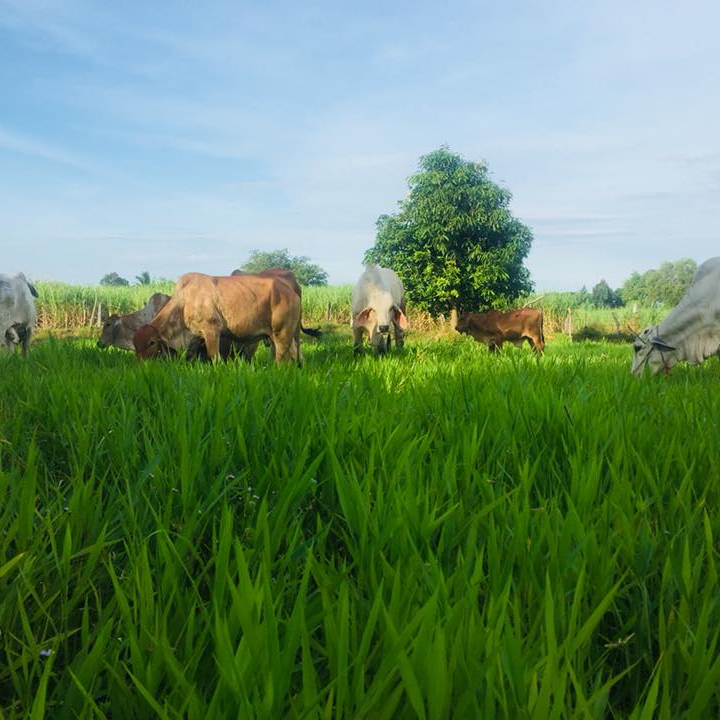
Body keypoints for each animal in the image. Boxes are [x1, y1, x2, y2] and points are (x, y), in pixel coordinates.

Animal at [134, 274, 302, 368]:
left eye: (151, 342)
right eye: (135, 345)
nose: (142, 366)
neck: (183, 303)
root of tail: (291, 291)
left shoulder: (211, 330)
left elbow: (214, 357)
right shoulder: (196, 337)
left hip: (281, 334)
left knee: (282, 359)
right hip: (282, 335)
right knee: (295, 355)